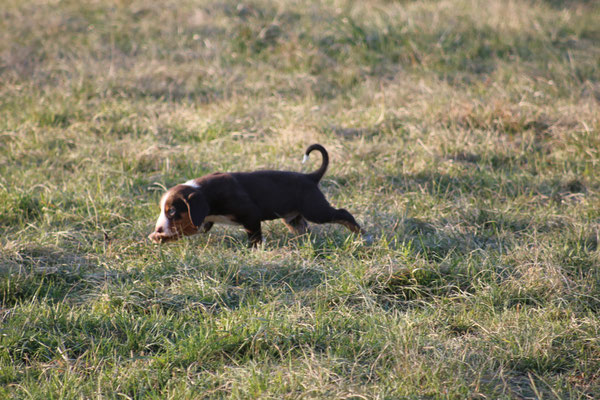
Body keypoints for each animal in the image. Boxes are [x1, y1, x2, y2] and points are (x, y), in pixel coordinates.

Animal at [148, 142, 368, 245]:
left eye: (172, 211)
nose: (158, 228)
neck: (207, 193)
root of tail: (310, 177)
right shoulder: (201, 221)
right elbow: (181, 231)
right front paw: (159, 237)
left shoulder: (250, 215)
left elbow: (254, 237)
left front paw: (254, 250)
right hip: (293, 218)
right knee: (304, 229)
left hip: (316, 210)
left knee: (343, 213)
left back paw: (363, 236)